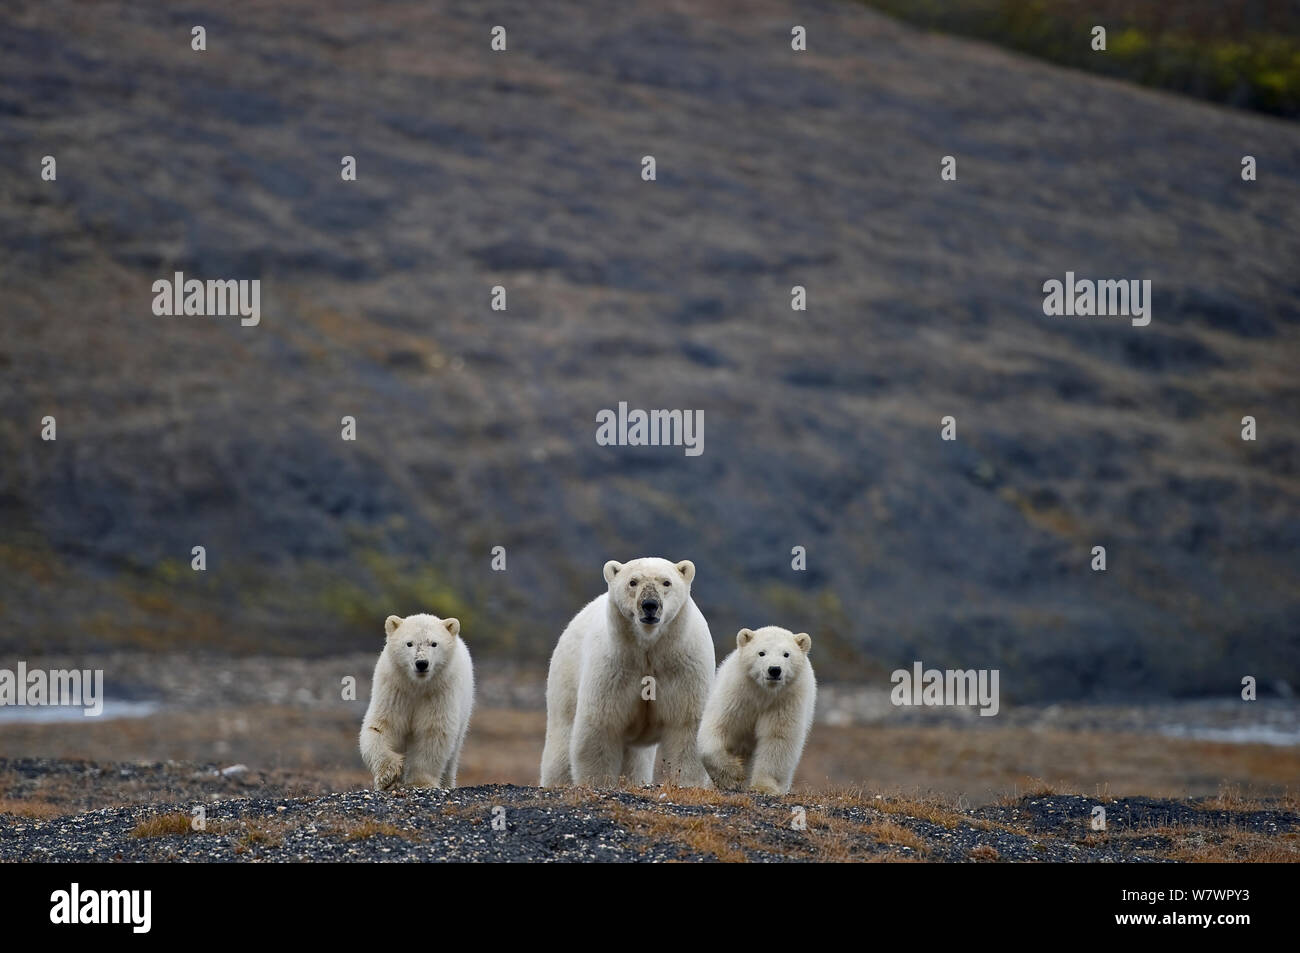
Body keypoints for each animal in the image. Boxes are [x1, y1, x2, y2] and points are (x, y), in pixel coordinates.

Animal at [358, 613, 475, 790]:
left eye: (434, 643)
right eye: (409, 643)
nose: (421, 663)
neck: (417, 685)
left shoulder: (439, 692)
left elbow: (433, 731)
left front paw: (420, 782)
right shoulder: (394, 689)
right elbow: (382, 726)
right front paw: (389, 774)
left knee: (453, 754)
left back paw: (447, 783)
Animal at [540, 556, 717, 790]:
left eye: (666, 582)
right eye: (633, 582)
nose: (649, 605)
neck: (649, 648)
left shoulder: (683, 668)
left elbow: (686, 726)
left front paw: (687, 784)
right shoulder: (615, 668)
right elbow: (600, 727)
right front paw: (597, 782)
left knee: (636, 760)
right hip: (566, 676)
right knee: (560, 743)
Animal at [702, 624, 811, 795]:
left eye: (786, 654)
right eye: (761, 652)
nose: (774, 669)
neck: (763, 692)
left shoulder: (785, 702)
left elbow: (777, 739)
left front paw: (764, 787)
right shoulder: (736, 695)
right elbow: (718, 728)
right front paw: (733, 776)